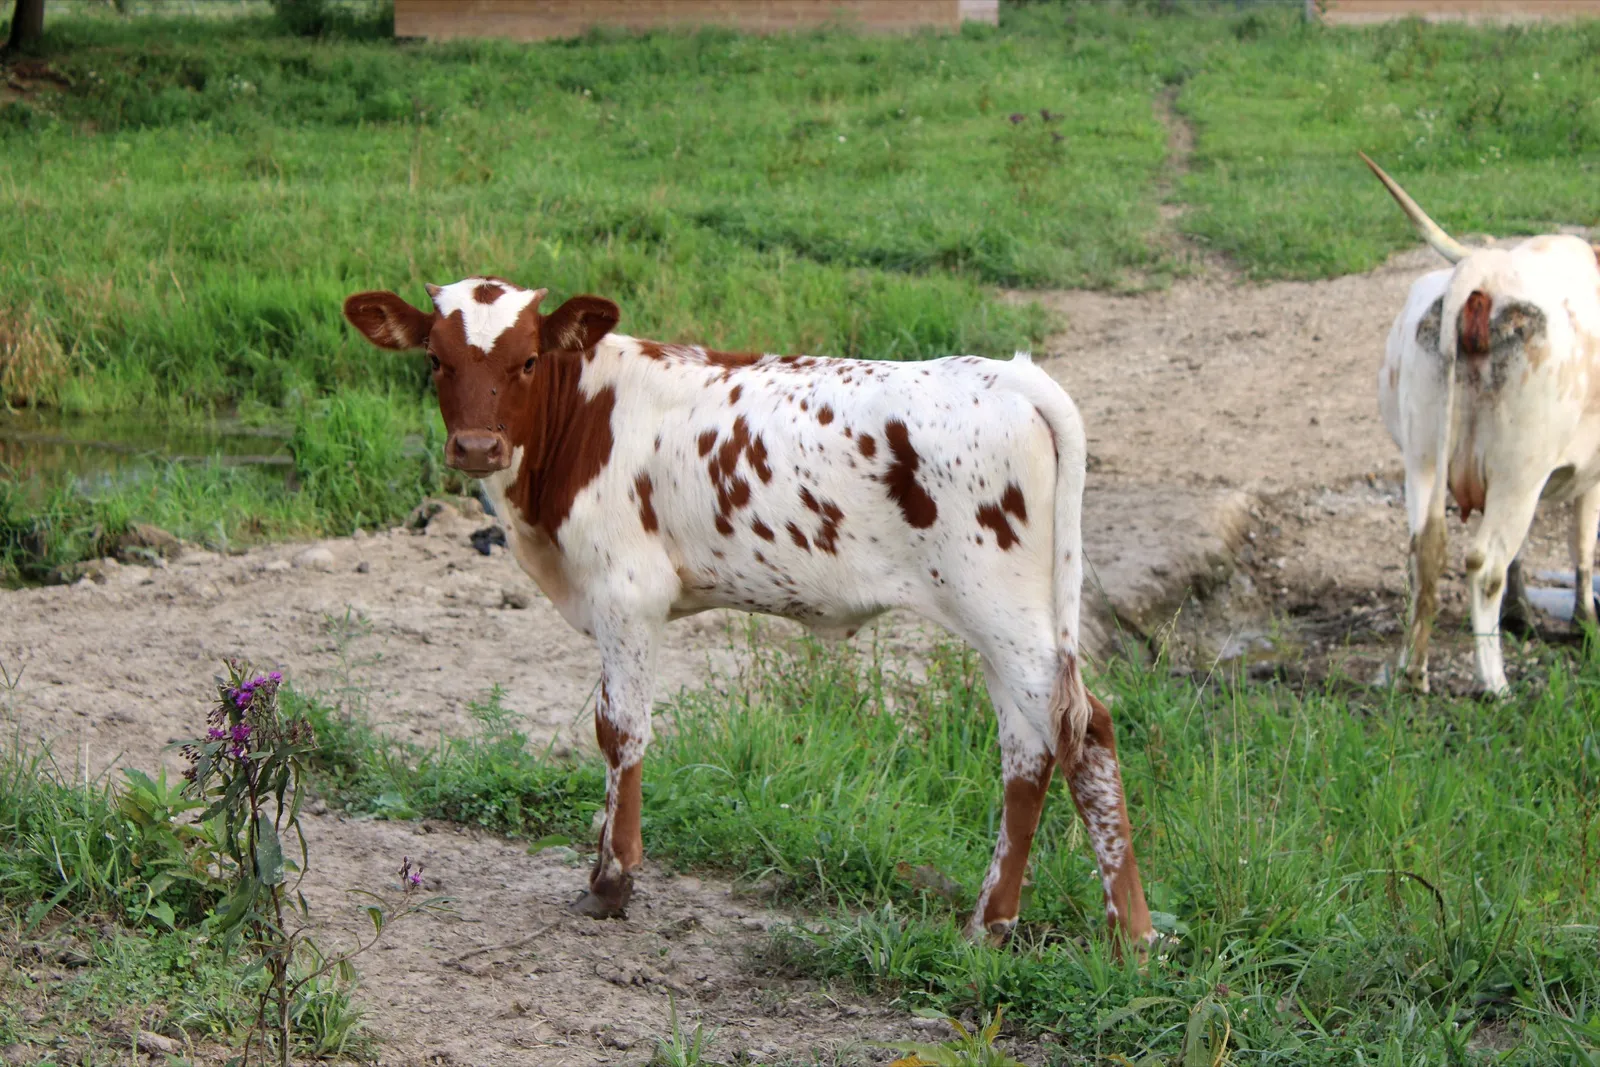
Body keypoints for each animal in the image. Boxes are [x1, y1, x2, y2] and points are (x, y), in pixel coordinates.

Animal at [342, 278, 1156, 950]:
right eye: (437, 359)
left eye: (529, 360)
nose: (477, 446)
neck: (585, 418)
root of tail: (1006, 372)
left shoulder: (626, 595)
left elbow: (620, 729)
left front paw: (612, 880)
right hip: (1003, 622)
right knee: (1028, 748)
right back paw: (989, 924)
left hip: (1004, 611)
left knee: (1086, 732)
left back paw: (1132, 940)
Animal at [1364, 152, 1600, 696]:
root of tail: (1483, 273)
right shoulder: (1588, 471)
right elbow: (1582, 544)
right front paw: (1586, 626)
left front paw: (1523, 613)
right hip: (1518, 469)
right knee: (1484, 562)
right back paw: (1493, 682)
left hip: (1422, 457)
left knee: (1424, 550)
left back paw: (1413, 671)